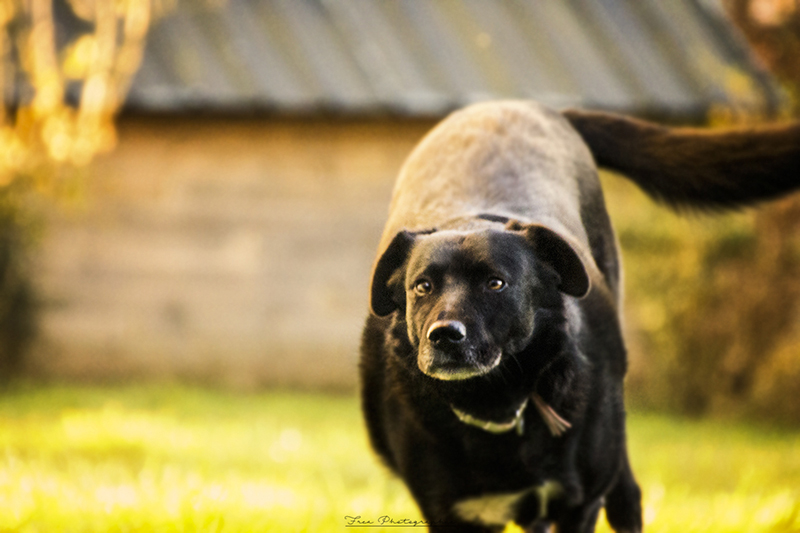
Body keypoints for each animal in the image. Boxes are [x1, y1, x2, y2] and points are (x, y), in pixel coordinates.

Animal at [360, 101, 800, 532]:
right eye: (422, 287)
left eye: (495, 283)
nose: (444, 336)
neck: (499, 404)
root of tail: (536, 106)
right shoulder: (453, 514)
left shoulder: (579, 504)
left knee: (627, 498)